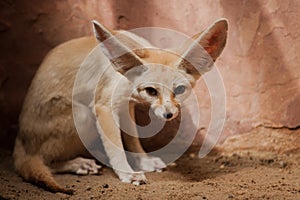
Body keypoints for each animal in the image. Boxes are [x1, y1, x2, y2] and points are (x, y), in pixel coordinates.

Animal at [12, 18, 227, 194]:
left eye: (180, 89)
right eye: (151, 91)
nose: (168, 114)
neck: (124, 77)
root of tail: (20, 138)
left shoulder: (126, 107)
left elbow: (133, 139)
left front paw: (144, 161)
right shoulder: (104, 107)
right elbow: (116, 145)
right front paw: (128, 173)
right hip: (82, 115)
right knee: (43, 161)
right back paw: (77, 163)